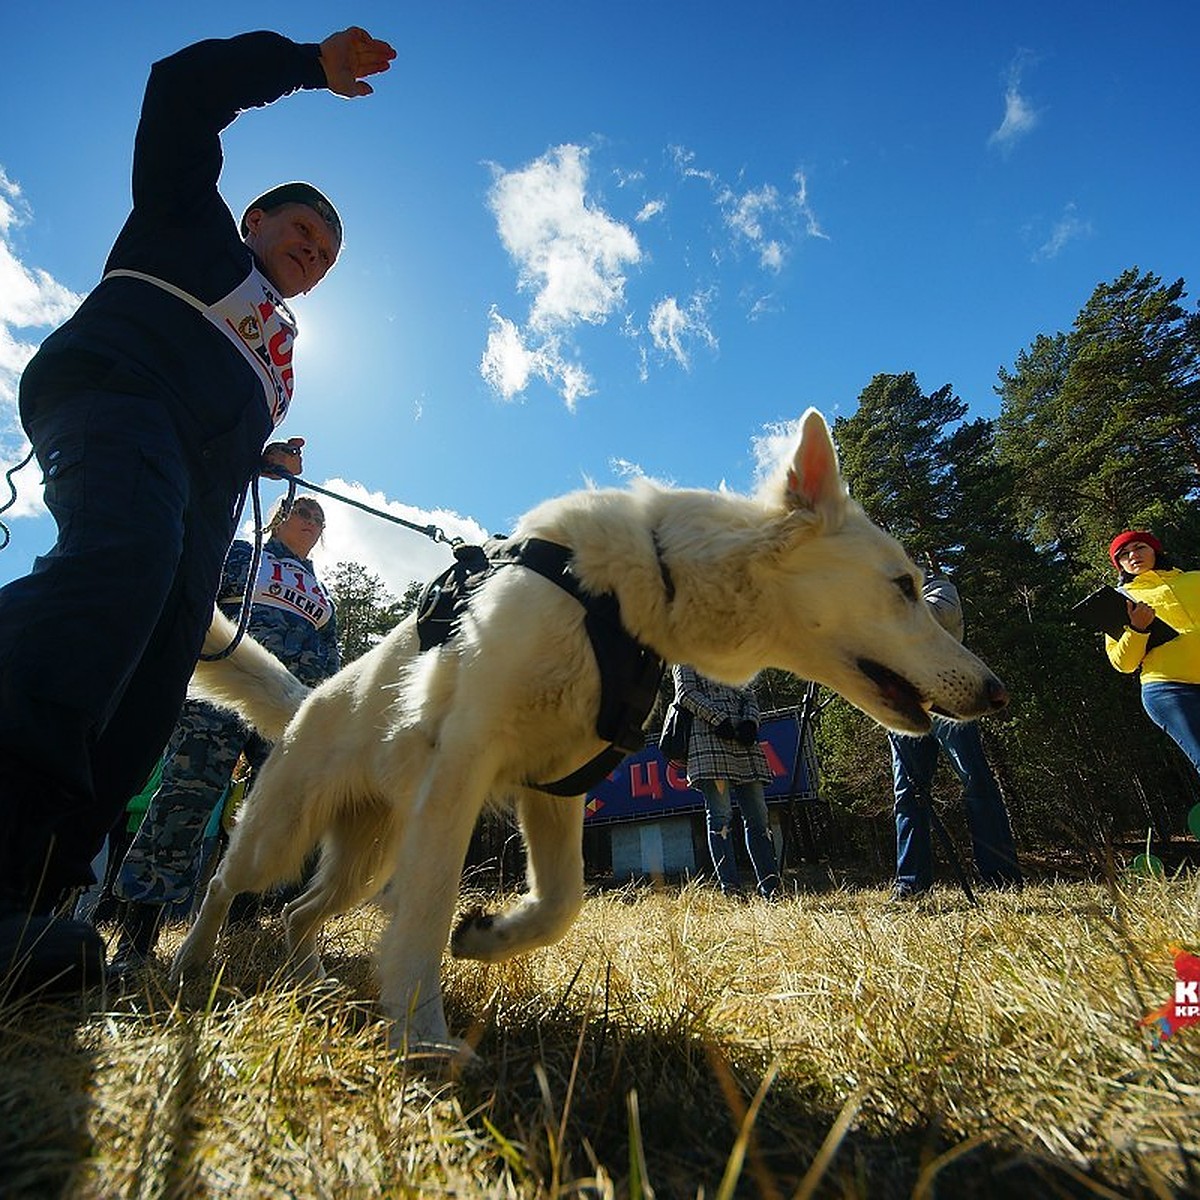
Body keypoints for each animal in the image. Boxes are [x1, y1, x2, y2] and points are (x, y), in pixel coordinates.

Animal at [174, 410, 1008, 1051]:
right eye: (904, 586)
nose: (997, 692)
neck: (638, 594)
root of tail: (306, 697)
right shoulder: (461, 772)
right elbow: (427, 913)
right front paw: (422, 1040)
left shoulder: (555, 790)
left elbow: (561, 904)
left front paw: (487, 939)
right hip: (282, 837)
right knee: (223, 883)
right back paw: (189, 965)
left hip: (367, 858)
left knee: (296, 913)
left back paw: (311, 985)